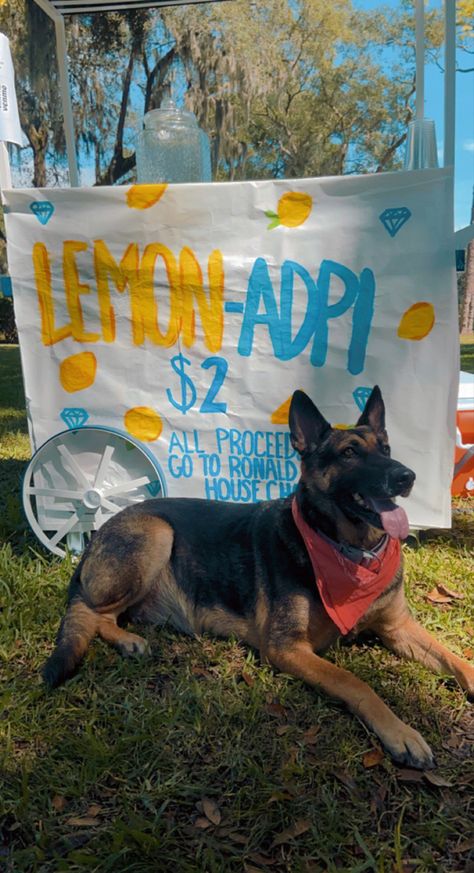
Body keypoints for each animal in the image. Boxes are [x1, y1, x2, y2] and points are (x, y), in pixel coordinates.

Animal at [42, 386, 472, 764]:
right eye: (349, 453)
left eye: (385, 449)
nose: (406, 476)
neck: (348, 550)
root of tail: (99, 533)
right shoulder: (287, 647)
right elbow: (356, 682)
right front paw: (401, 733)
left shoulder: (398, 628)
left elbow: (457, 660)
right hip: (157, 533)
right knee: (91, 611)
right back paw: (129, 641)